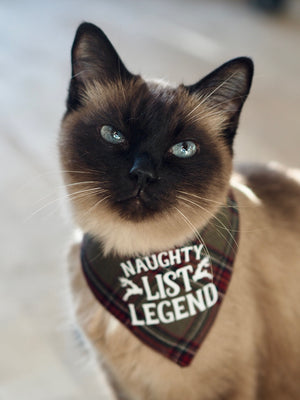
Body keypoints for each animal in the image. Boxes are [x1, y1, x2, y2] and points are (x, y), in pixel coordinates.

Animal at [58, 22, 300, 400]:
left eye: (183, 149)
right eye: (114, 135)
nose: (142, 174)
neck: (140, 262)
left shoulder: (227, 388)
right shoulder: (120, 385)